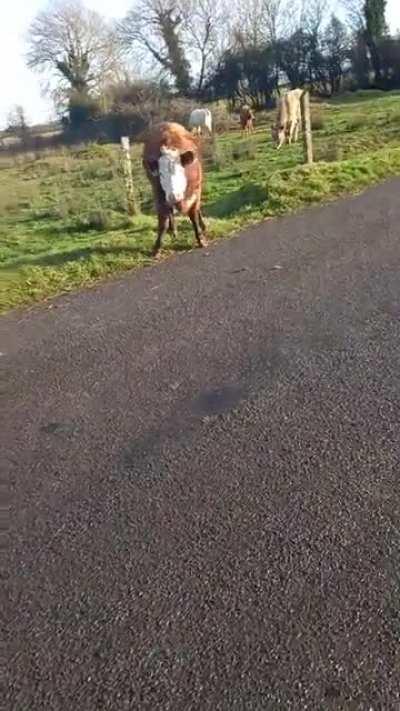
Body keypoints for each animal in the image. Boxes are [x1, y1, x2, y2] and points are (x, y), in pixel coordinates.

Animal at [142, 122, 207, 257]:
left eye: (180, 170)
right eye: (161, 174)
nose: (174, 196)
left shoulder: (196, 192)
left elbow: (194, 215)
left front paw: (200, 239)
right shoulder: (159, 196)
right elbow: (162, 222)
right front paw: (157, 247)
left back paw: (202, 225)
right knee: (170, 214)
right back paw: (173, 230)